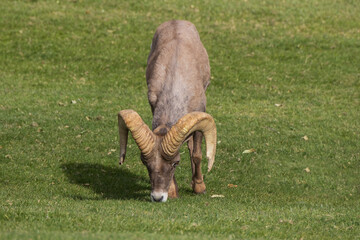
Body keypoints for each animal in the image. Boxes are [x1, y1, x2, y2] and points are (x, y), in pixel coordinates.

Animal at [117, 19, 217, 202]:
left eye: (175, 163)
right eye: (145, 163)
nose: (157, 197)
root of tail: (176, 21)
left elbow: (197, 154)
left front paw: (199, 187)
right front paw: (172, 191)